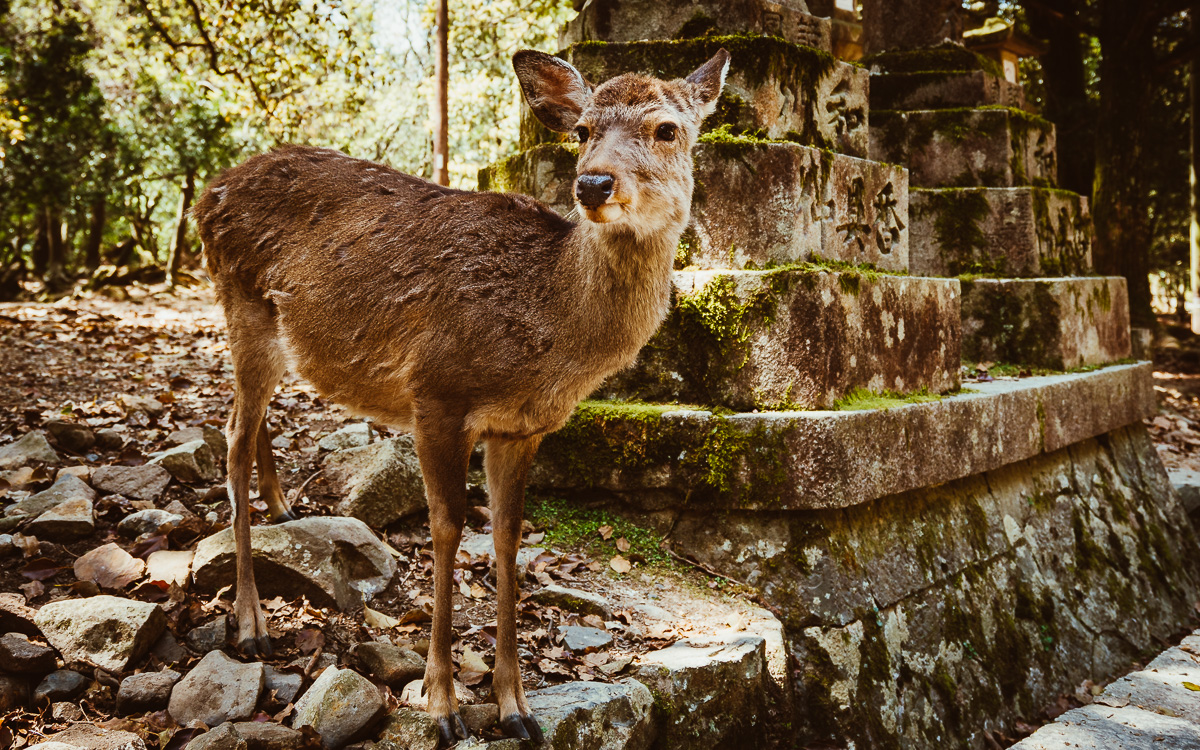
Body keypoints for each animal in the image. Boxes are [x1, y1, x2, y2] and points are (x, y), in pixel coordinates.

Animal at [192, 47, 730, 746]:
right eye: (582, 131)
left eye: (668, 129)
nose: (593, 185)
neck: (548, 334)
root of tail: (208, 193)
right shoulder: (435, 394)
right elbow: (446, 530)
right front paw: (442, 703)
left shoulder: (523, 428)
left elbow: (506, 535)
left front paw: (516, 706)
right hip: (241, 301)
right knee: (230, 435)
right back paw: (252, 624)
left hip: (276, 332)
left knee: (251, 421)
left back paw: (283, 509)